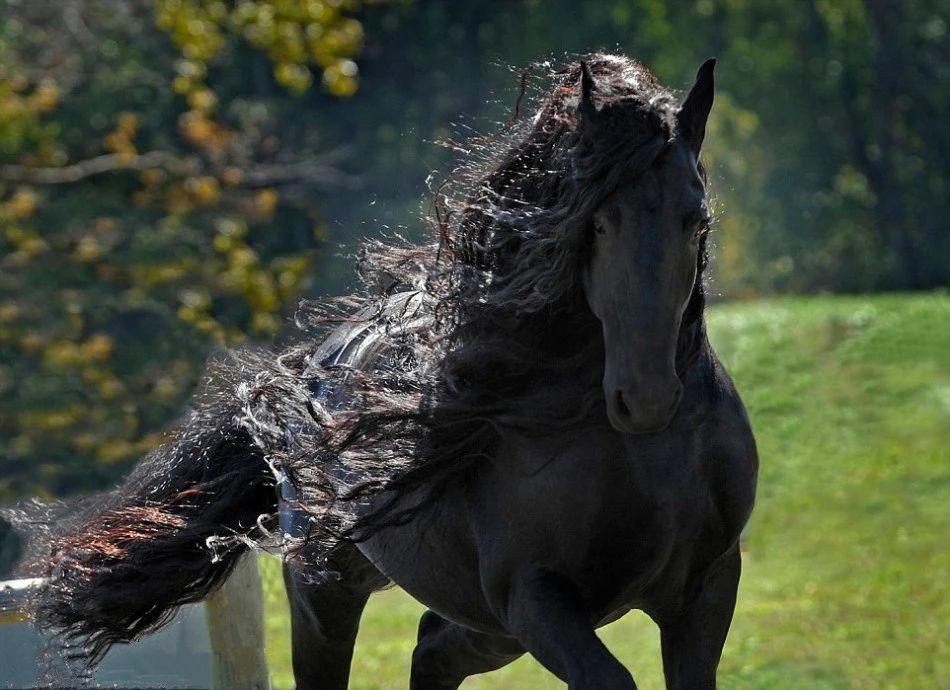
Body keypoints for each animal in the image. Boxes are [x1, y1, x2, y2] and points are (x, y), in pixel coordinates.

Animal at [22, 55, 760, 688]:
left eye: (695, 220)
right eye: (597, 223)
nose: (646, 397)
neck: (637, 456)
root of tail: (306, 373)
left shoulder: (704, 588)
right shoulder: (536, 596)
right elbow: (608, 678)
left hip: (484, 625)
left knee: (432, 652)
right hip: (332, 593)